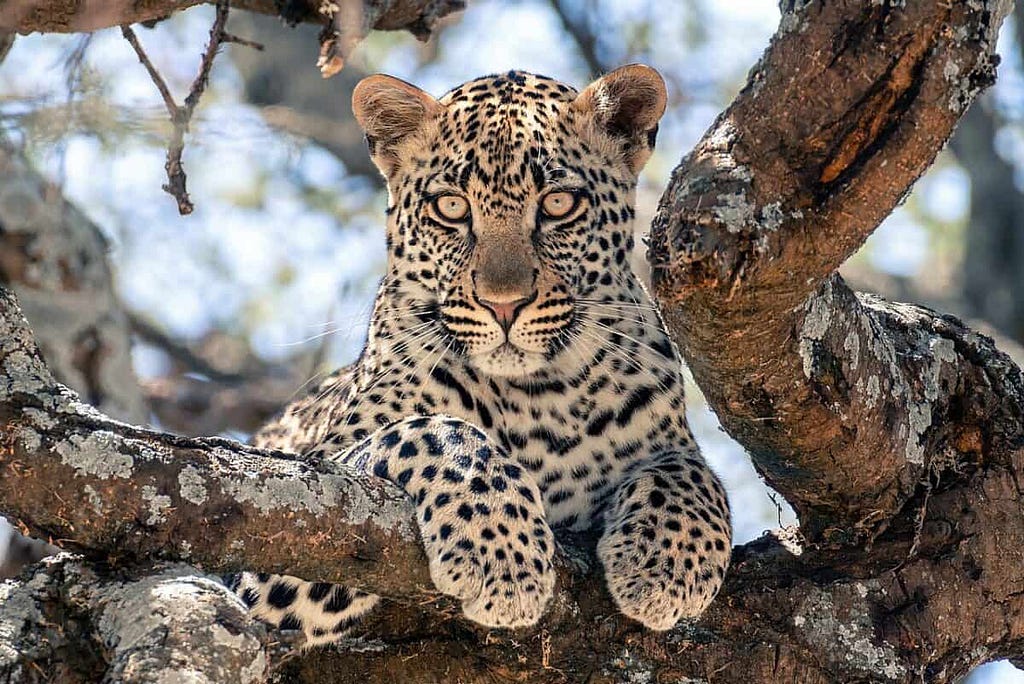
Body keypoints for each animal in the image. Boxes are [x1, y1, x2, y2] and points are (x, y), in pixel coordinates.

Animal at [229, 63, 733, 647]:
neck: (539, 396)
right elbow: (434, 429)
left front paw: (669, 563)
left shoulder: (668, 439)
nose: (504, 304)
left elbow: (692, 471)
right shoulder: (293, 520)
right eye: (451, 207)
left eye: (558, 204)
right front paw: (503, 555)